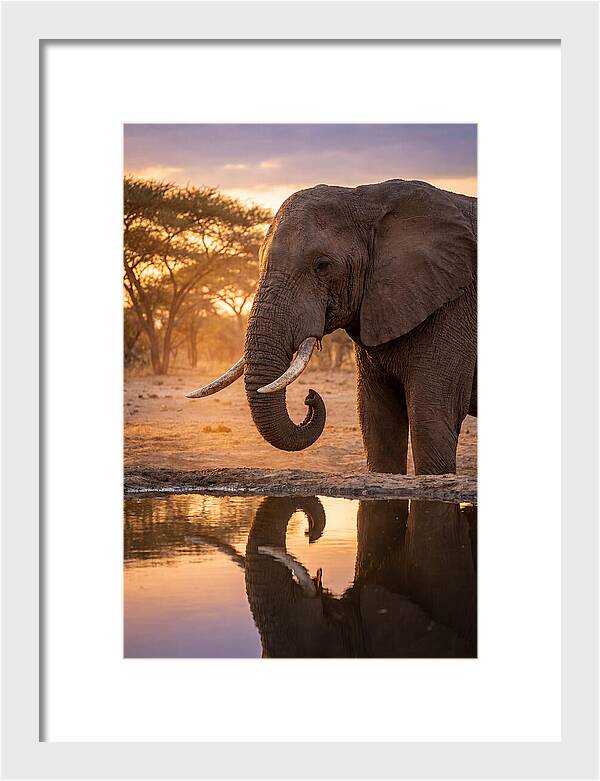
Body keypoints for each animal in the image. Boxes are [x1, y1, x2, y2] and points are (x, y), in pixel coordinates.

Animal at [187, 179, 477, 475]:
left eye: (323, 266)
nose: (310, 397)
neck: (368, 198)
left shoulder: (453, 306)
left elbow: (431, 418)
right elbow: (376, 419)